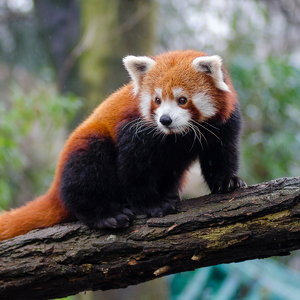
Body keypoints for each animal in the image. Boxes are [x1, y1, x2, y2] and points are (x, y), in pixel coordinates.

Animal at [0, 49, 246, 241]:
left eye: (182, 100)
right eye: (157, 100)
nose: (165, 120)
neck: (177, 136)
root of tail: (55, 187)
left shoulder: (223, 123)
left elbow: (221, 154)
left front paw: (227, 181)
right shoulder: (135, 128)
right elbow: (134, 168)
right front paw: (151, 204)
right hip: (87, 146)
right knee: (86, 172)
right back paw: (106, 214)